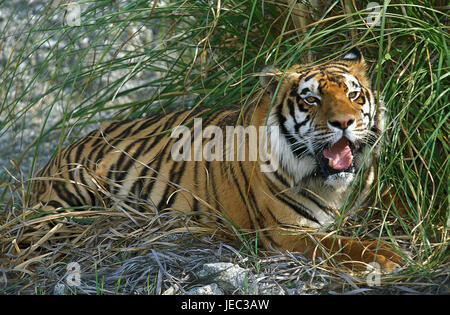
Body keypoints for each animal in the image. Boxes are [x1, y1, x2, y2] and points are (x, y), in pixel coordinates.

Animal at [29, 48, 402, 272]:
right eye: (311, 99)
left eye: (353, 94)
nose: (344, 122)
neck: (334, 186)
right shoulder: (286, 231)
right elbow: (340, 245)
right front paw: (385, 256)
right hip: (63, 201)